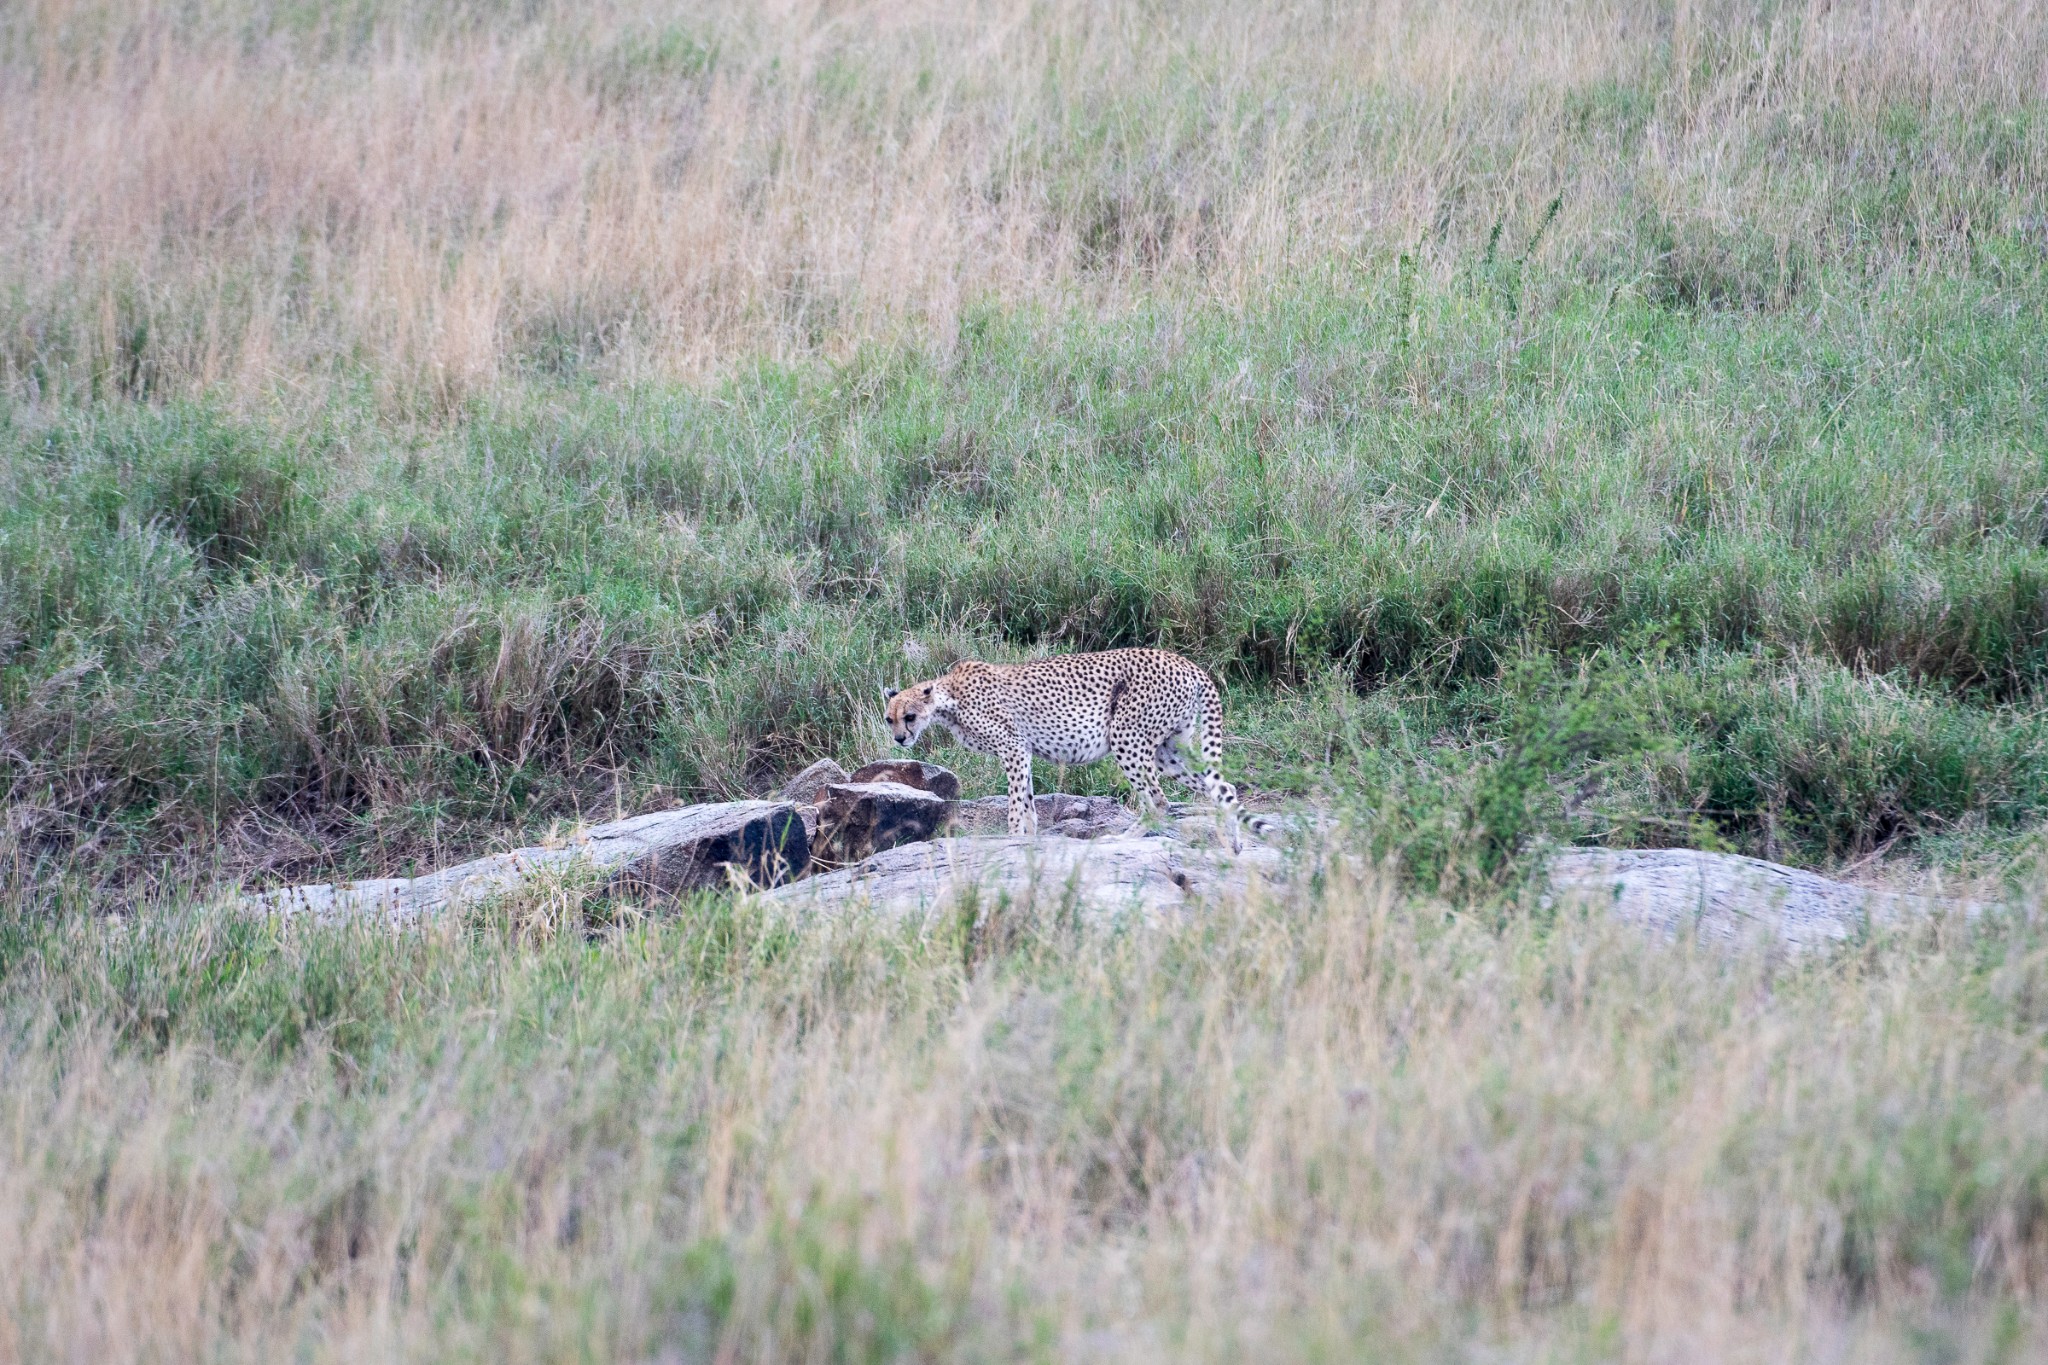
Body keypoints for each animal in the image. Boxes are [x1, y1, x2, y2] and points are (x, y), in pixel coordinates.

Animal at [876, 646, 1253, 847]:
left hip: (1126, 737)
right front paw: (1028, 840)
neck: (948, 699)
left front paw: (1014, 837)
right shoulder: (1023, 751)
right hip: (1168, 751)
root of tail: (1186, 662)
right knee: (1223, 789)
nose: (900, 739)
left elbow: (1016, 804)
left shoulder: (1013, 747)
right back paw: (1232, 845)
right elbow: (1027, 802)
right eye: (889, 719)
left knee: (1159, 801)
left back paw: (1124, 838)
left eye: (910, 716)